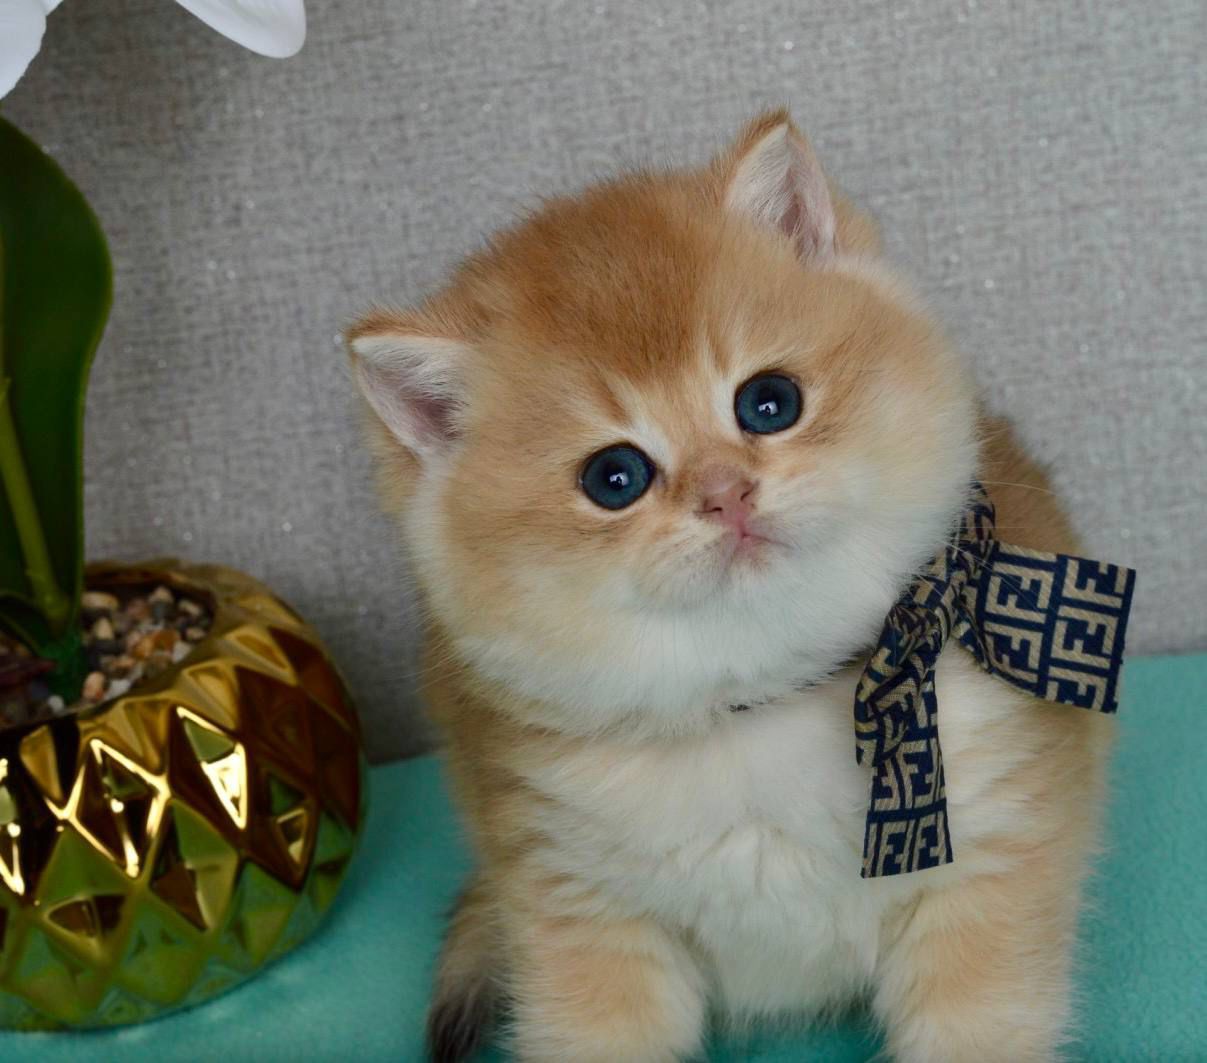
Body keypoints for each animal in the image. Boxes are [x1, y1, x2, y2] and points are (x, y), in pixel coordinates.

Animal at [348, 111, 1110, 1063]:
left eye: (768, 402)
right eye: (613, 478)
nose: (725, 493)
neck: (765, 704)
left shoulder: (986, 873)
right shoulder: (579, 913)